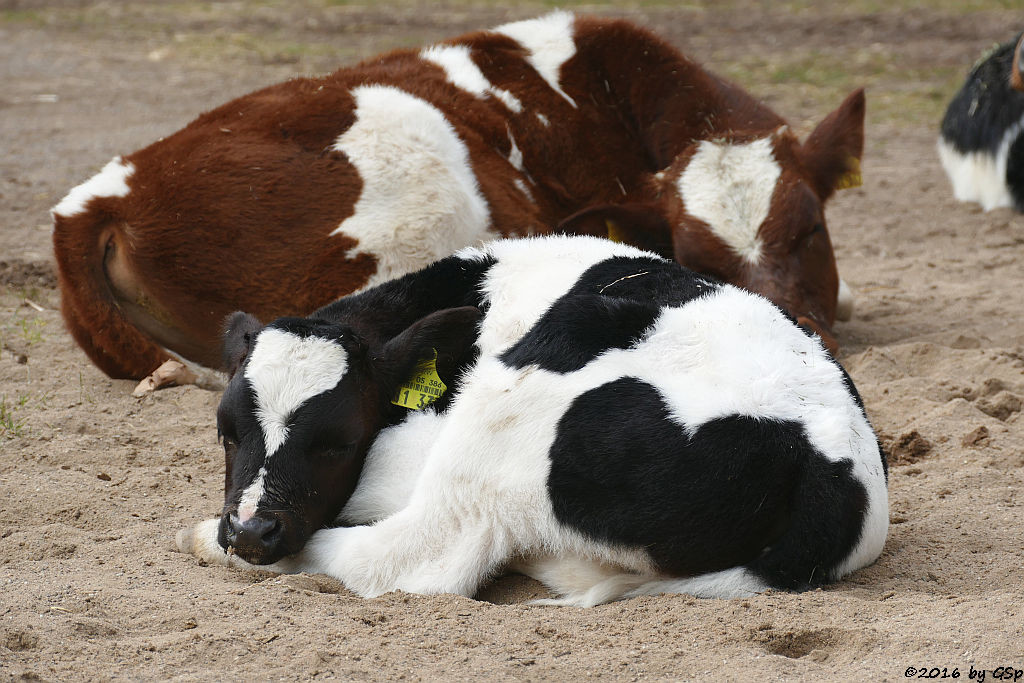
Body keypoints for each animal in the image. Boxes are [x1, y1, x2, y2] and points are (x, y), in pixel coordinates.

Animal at [180, 236, 892, 610]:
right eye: (227, 432)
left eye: (339, 442)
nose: (251, 530)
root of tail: (831, 460)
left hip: (518, 401)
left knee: (411, 558)